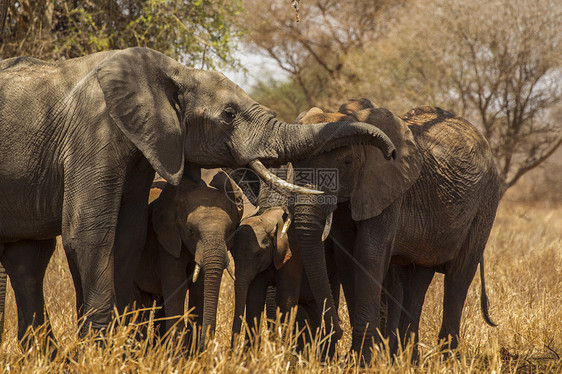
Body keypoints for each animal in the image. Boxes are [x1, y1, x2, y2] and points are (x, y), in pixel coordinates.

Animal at [0, 47, 394, 348]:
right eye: (229, 115)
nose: (390, 152)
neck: (174, 72)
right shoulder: (94, 132)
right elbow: (89, 232)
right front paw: (100, 350)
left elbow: (128, 236)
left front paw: (122, 346)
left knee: (26, 258)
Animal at [288, 99, 498, 362]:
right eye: (295, 163)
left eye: (347, 162)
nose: (336, 330)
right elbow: (348, 257)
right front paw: (363, 357)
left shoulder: (389, 185)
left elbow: (368, 253)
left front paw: (363, 360)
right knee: (418, 279)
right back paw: (409, 360)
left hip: (485, 202)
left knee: (459, 276)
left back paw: (447, 360)